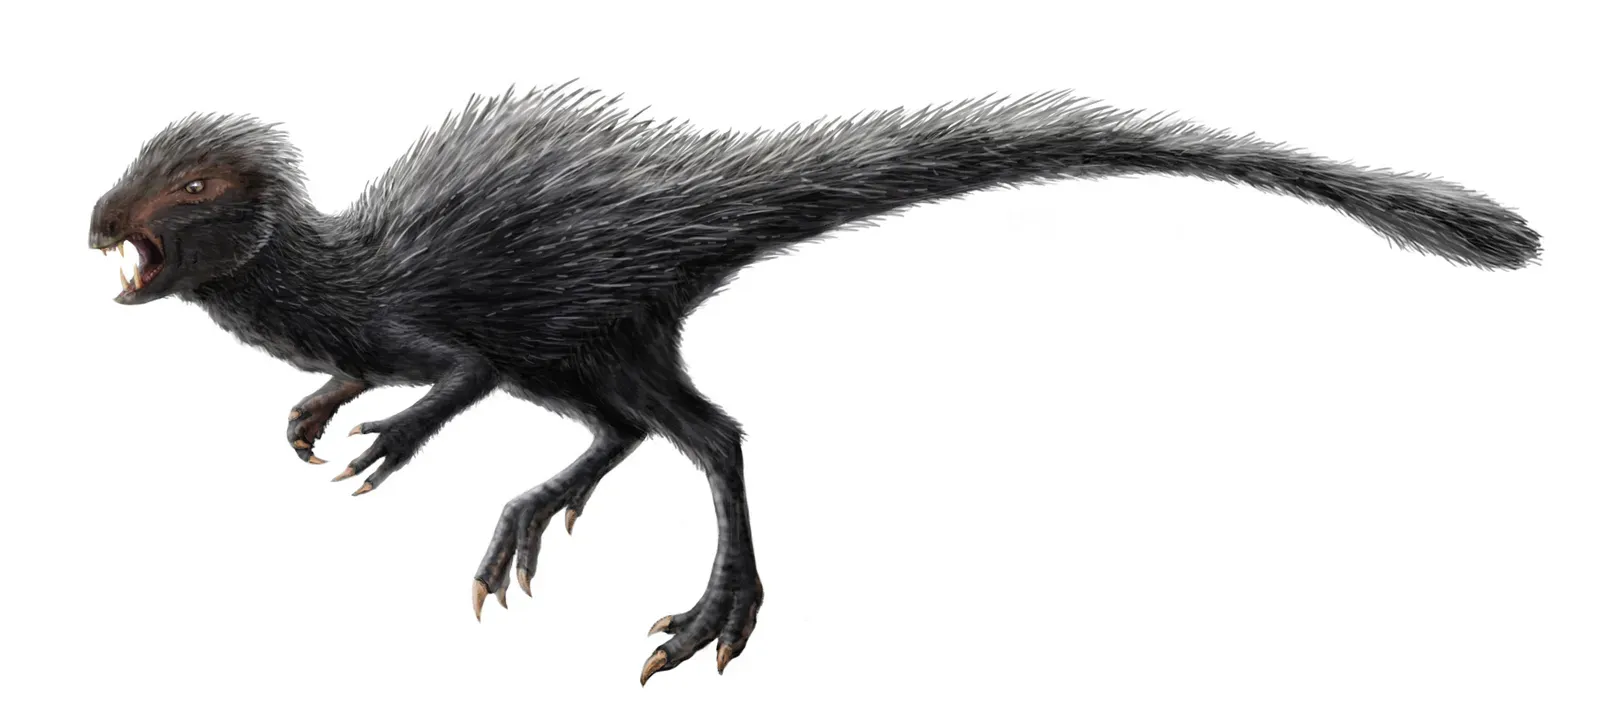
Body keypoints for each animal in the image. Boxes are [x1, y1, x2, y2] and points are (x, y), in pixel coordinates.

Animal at [87, 83, 1540, 684]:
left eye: (193, 184)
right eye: (139, 166)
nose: (99, 219)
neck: (337, 276)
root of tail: (679, 188)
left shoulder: (454, 324)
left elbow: (450, 377)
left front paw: (383, 439)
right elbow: (359, 380)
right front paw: (317, 412)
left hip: (596, 313)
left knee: (712, 431)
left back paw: (709, 611)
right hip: (596, 344)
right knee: (634, 429)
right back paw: (532, 518)